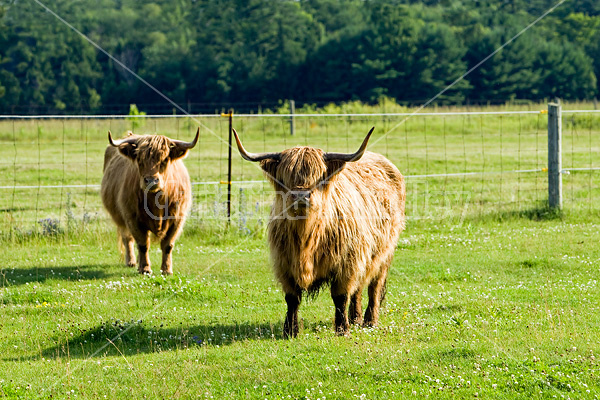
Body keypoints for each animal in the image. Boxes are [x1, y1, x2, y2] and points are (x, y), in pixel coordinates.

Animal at [101, 130, 199, 276]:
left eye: (164, 160)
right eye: (140, 160)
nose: (151, 180)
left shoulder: (177, 219)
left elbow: (168, 245)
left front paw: (166, 269)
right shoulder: (132, 217)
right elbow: (142, 244)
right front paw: (145, 269)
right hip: (121, 218)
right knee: (127, 238)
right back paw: (132, 261)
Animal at [232, 126, 406, 336]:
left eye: (318, 176)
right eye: (285, 177)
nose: (301, 195)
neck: (305, 238)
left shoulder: (346, 263)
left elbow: (340, 296)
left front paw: (342, 329)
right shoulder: (284, 264)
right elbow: (292, 298)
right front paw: (290, 330)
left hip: (384, 253)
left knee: (374, 286)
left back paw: (369, 321)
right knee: (359, 287)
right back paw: (355, 318)